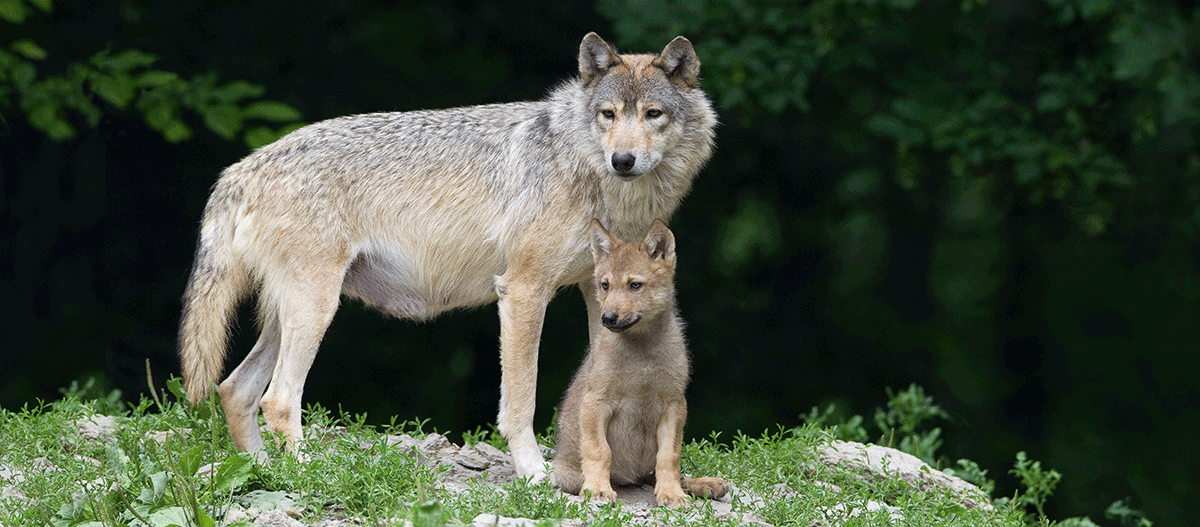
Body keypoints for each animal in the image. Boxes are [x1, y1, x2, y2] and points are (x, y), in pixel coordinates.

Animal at [177, 32, 716, 480]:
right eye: (609, 115)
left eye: (653, 115)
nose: (622, 160)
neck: (585, 168)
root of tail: (244, 167)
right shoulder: (523, 290)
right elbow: (520, 401)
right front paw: (535, 474)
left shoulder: (597, 295)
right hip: (315, 309)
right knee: (278, 399)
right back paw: (306, 473)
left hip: (292, 314)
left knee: (235, 390)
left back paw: (263, 473)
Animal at [551, 219, 729, 508]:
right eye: (605, 285)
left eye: (635, 285)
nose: (608, 318)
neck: (641, 350)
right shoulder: (596, 402)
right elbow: (599, 451)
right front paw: (598, 489)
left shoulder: (674, 405)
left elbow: (669, 457)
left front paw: (672, 494)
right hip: (567, 472)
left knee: (663, 474)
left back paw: (703, 485)